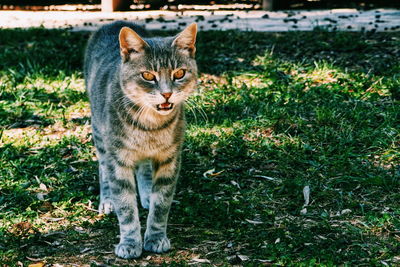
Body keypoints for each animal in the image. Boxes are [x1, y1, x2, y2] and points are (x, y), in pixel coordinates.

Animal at [83, 21, 198, 260]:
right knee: (103, 168)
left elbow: (161, 205)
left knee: (144, 167)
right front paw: (129, 242)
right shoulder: (118, 161)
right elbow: (126, 208)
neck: (150, 127)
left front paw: (155, 237)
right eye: (147, 75)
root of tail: (114, 22)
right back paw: (107, 200)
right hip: (100, 134)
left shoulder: (170, 159)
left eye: (179, 73)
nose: (166, 94)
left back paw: (146, 194)